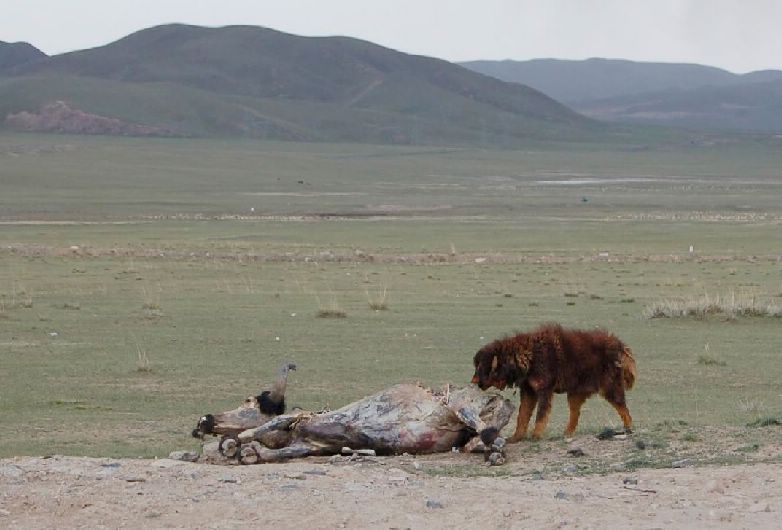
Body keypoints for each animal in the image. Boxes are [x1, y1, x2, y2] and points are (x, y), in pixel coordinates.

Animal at [472, 324, 636, 440]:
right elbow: (522, 415)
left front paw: (536, 435)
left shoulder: (544, 390)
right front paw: (516, 437)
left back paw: (629, 428)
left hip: (611, 387)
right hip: (575, 394)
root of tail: (619, 345)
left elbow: (541, 414)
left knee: (622, 407)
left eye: (482, 366)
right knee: (575, 413)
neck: (528, 355)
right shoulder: (528, 392)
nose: (474, 381)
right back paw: (567, 433)